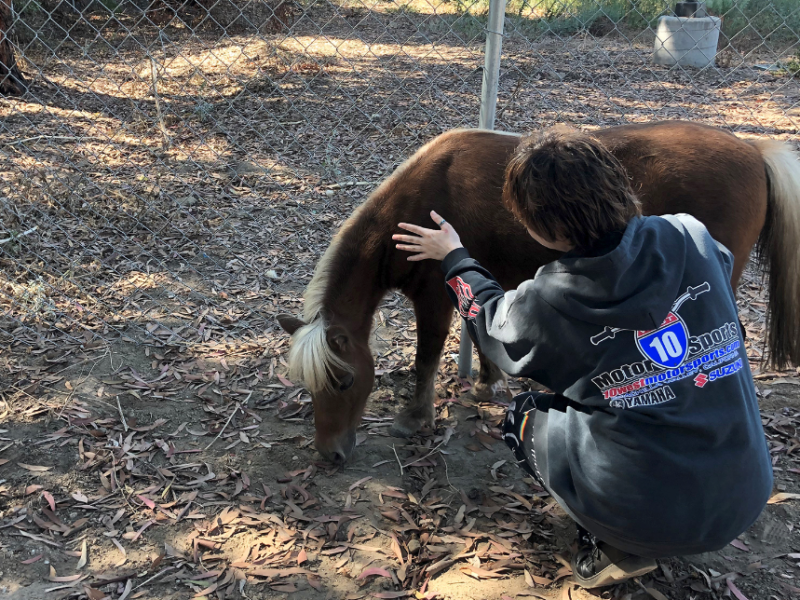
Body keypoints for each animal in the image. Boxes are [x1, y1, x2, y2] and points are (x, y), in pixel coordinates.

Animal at [278, 119, 800, 462]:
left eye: (344, 382)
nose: (328, 454)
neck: (415, 208)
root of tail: (754, 150)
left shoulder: (431, 299)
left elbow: (426, 358)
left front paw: (414, 418)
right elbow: (484, 335)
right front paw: (487, 384)